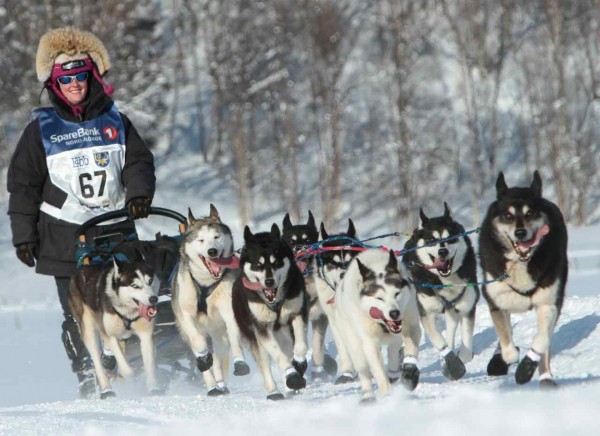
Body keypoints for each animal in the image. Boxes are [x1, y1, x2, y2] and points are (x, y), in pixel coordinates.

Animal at [69, 249, 158, 398]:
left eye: (150, 281)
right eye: (135, 286)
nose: (153, 298)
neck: (128, 312)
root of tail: (80, 269)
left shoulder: (145, 333)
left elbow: (149, 363)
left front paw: (154, 388)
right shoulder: (110, 334)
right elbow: (125, 366)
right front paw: (129, 372)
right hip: (88, 329)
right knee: (97, 361)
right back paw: (107, 389)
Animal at [170, 204, 250, 396]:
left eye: (216, 237)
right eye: (201, 240)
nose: (212, 251)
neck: (206, 282)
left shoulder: (230, 311)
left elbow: (235, 340)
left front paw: (240, 362)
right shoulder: (186, 316)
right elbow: (199, 343)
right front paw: (204, 359)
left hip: (219, 336)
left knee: (219, 360)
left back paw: (220, 384)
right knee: (204, 359)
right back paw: (212, 386)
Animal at [338, 249, 422, 402]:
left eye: (397, 293)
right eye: (379, 298)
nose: (394, 313)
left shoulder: (410, 324)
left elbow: (410, 346)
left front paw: (409, 373)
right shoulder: (370, 342)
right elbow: (378, 370)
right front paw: (387, 394)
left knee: (393, 348)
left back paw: (394, 372)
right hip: (353, 342)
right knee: (363, 369)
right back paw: (368, 395)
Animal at [478, 170, 568, 384]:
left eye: (529, 213)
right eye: (508, 215)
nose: (520, 232)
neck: (520, 262)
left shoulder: (549, 302)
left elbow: (543, 340)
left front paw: (527, 367)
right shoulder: (496, 300)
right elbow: (506, 340)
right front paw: (508, 357)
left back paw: (545, 377)